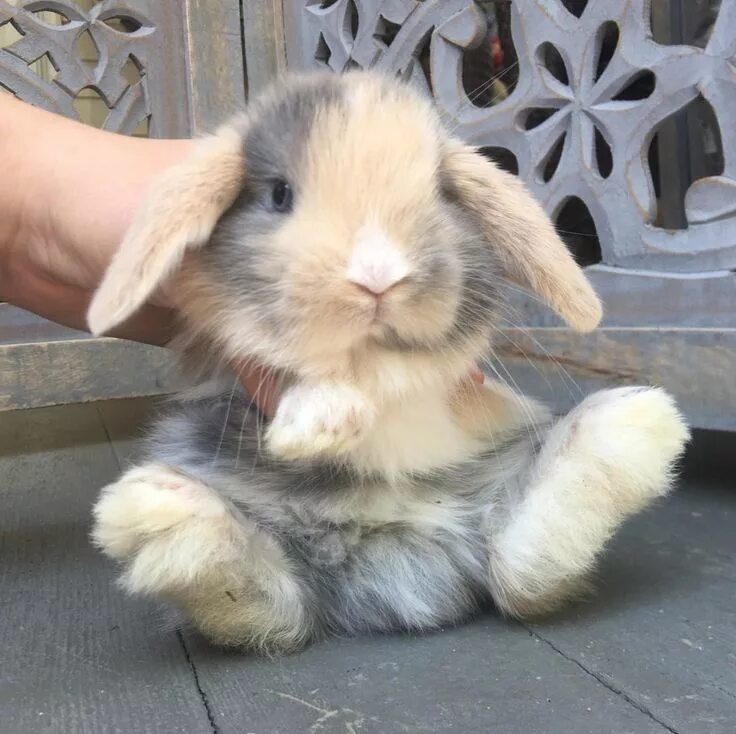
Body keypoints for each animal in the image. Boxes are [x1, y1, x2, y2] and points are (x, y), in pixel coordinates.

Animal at [87, 70, 688, 656]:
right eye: (280, 194)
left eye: (441, 193)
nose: (378, 277)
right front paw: (319, 425)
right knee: (271, 610)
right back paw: (164, 512)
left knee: (521, 571)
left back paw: (626, 426)